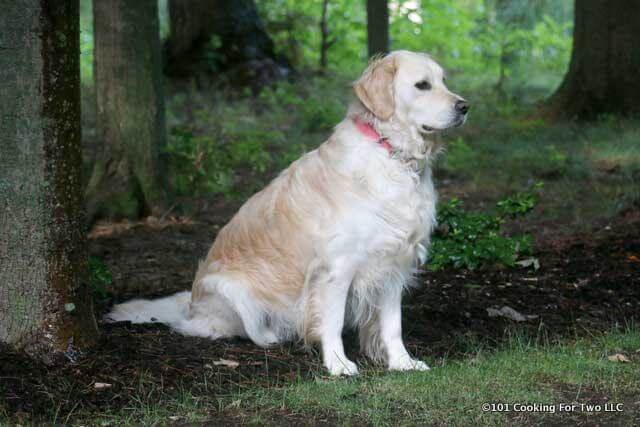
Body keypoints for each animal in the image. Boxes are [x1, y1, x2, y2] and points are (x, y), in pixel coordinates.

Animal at [107, 51, 468, 376]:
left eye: (444, 81)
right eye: (422, 85)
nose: (464, 106)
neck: (392, 153)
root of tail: (191, 302)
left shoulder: (394, 263)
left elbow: (393, 325)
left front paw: (402, 362)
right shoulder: (337, 267)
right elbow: (332, 320)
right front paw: (339, 365)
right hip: (230, 290)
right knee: (211, 328)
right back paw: (268, 335)